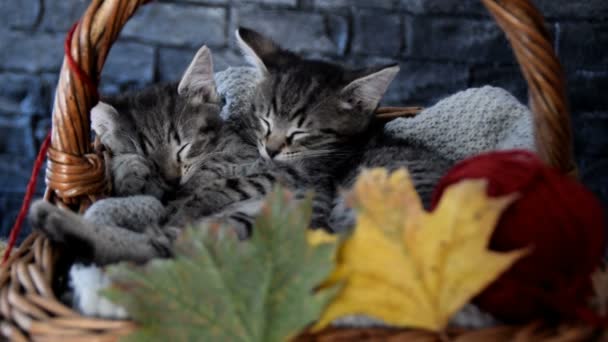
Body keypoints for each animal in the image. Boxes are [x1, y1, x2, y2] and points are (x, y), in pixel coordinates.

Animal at [29, 27, 456, 318]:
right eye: (263, 120)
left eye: (184, 147)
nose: (272, 148)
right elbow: (143, 185)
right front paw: (132, 168)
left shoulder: (292, 177)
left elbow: (218, 186)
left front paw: (187, 196)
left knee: (165, 249)